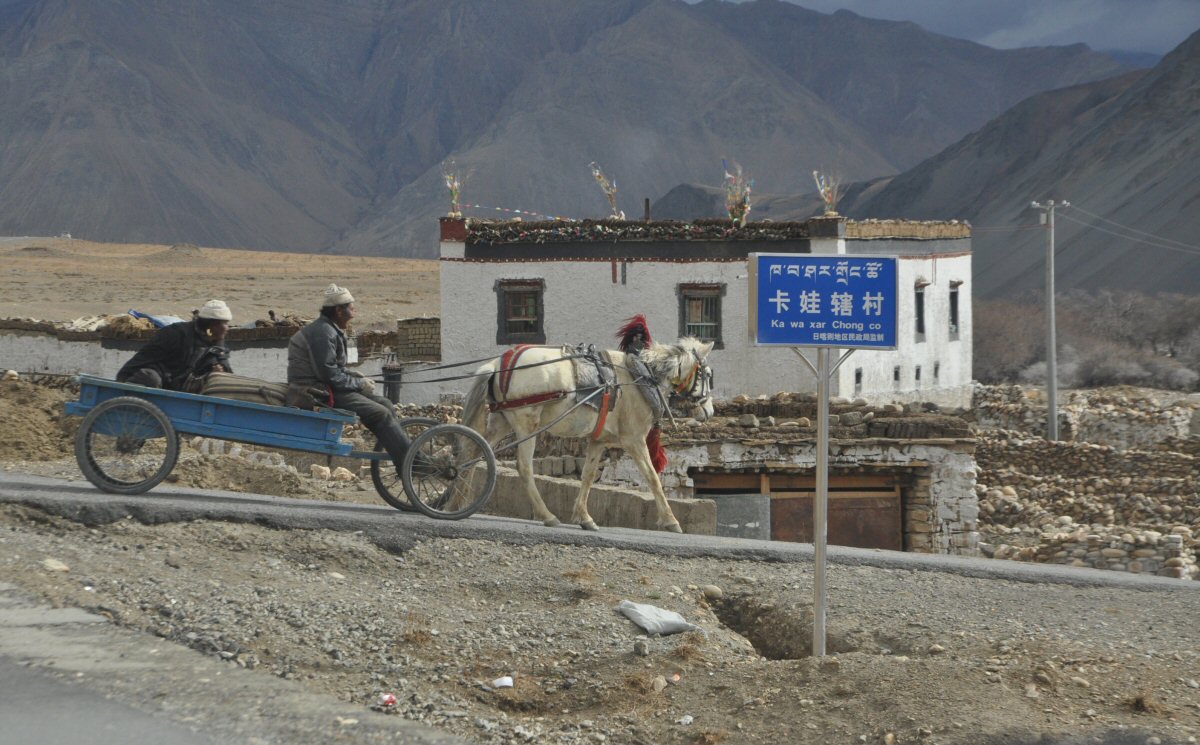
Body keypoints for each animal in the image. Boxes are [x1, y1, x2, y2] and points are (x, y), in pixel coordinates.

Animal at [460, 333, 710, 532]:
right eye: (707, 375)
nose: (710, 410)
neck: (640, 377)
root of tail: (502, 362)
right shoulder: (634, 440)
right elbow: (652, 478)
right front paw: (670, 520)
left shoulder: (599, 441)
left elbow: (588, 476)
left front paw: (583, 517)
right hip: (526, 423)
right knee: (524, 467)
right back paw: (546, 515)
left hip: (502, 421)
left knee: (474, 452)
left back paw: (458, 501)